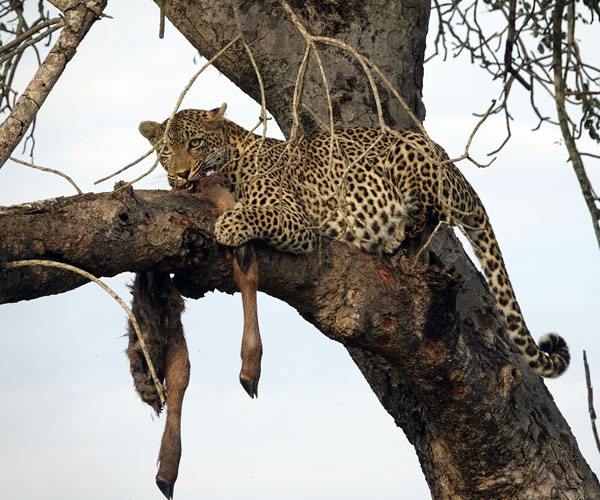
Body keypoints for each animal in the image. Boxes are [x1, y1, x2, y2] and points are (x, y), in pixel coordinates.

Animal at [138, 101, 568, 376]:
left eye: (195, 144)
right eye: (165, 151)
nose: (182, 174)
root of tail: (458, 172)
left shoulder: (295, 219)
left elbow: (257, 213)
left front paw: (229, 223)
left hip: (409, 156)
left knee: (431, 217)